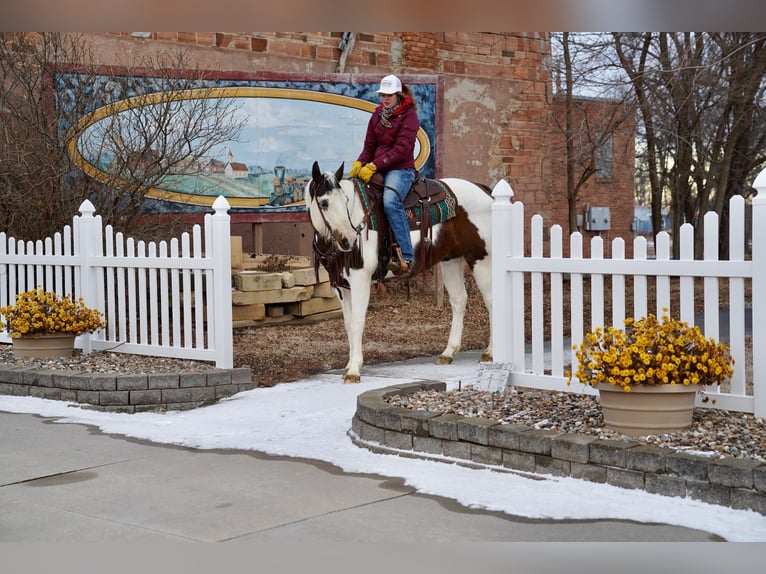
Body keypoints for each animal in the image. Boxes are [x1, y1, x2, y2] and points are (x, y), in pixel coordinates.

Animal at [304, 162, 496, 384]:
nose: (348, 240)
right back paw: (448, 352)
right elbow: (347, 324)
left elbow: (357, 322)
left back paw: (490, 352)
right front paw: (350, 364)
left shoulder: (360, 279)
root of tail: (484, 191)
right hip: (451, 261)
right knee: (459, 300)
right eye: (324, 203)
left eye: (345, 200)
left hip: (481, 259)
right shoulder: (341, 286)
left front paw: (353, 370)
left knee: (492, 301)